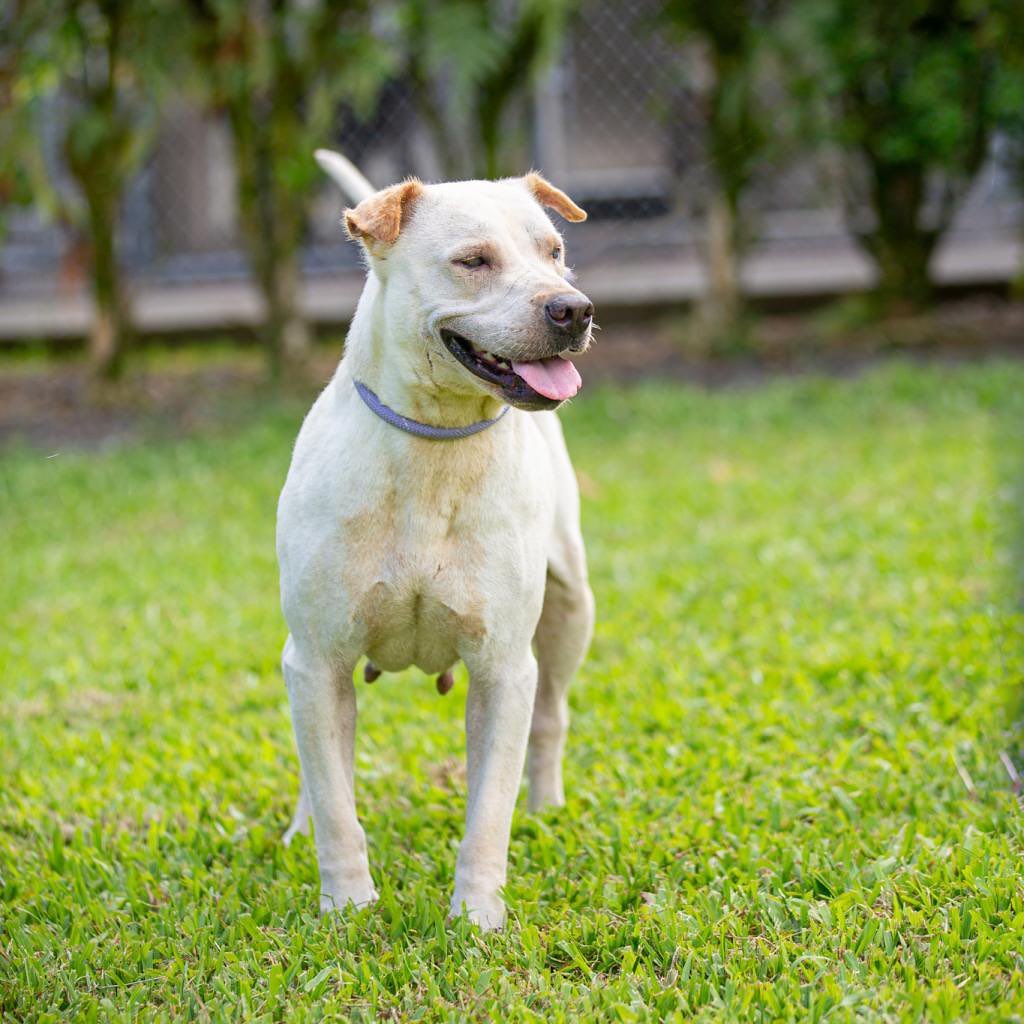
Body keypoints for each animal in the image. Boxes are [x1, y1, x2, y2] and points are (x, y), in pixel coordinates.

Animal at [280, 149, 598, 929]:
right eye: (473, 261)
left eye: (555, 252)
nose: (572, 308)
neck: (437, 443)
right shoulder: (317, 660)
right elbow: (336, 801)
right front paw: (348, 907)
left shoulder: (502, 668)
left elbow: (489, 811)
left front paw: (477, 917)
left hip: (572, 606)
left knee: (552, 717)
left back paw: (547, 808)